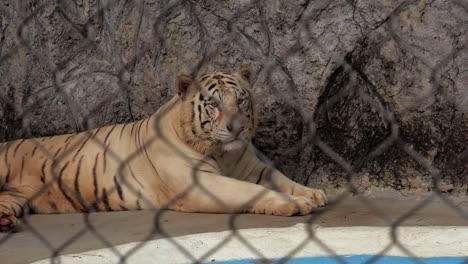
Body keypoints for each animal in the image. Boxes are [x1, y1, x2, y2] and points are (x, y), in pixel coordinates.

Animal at [0, 65, 328, 232]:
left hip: (15, 198)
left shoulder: (253, 168)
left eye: (241, 100)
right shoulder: (200, 183)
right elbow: (250, 191)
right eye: (214, 103)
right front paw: (297, 204)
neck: (223, 153)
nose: (236, 128)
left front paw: (313, 194)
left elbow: (281, 179)